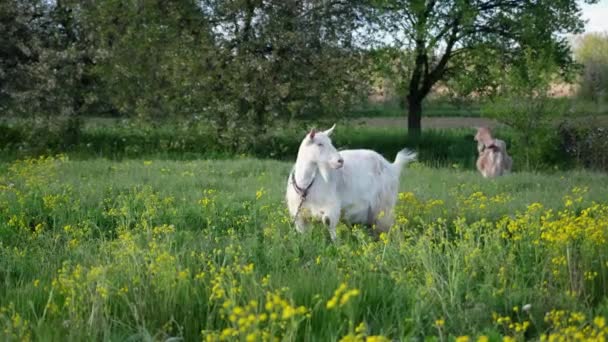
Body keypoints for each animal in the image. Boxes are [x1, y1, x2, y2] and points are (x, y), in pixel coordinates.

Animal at [284, 125, 418, 240]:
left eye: (330, 143)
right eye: (319, 144)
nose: (340, 161)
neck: (306, 185)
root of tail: (392, 166)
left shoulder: (331, 207)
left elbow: (328, 222)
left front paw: (336, 244)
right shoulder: (299, 216)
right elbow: (304, 234)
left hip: (385, 204)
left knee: (389, 226)